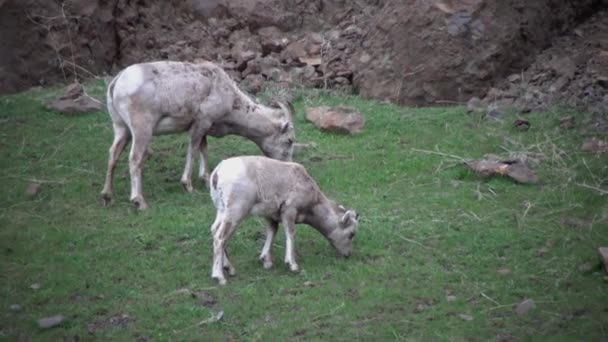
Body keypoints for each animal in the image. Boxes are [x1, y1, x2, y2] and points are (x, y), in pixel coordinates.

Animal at [100, 60, 294, 210]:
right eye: (289, 140)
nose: (288, 166)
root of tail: (117, 83)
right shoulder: (202, 123)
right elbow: (193, 149)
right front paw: (188, 185)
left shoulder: (204, 127)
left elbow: (203, 148)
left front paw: (206, 178)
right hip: (142, 130)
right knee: (135, 158)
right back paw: (139, 202)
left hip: (121, 129)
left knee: (113, 154)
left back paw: (107, 197)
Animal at [210, 156, 360, 284]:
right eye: (351, 234)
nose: (348, 255)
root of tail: (218, 172)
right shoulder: (289, 211)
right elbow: (290, 233)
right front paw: (292, 265)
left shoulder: (271, 216)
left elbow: (272, 232)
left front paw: (266, 261)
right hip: (235, 212)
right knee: (220, 238)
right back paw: (220, 277)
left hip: (222, 211)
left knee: (214, 231)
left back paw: (229, 268)